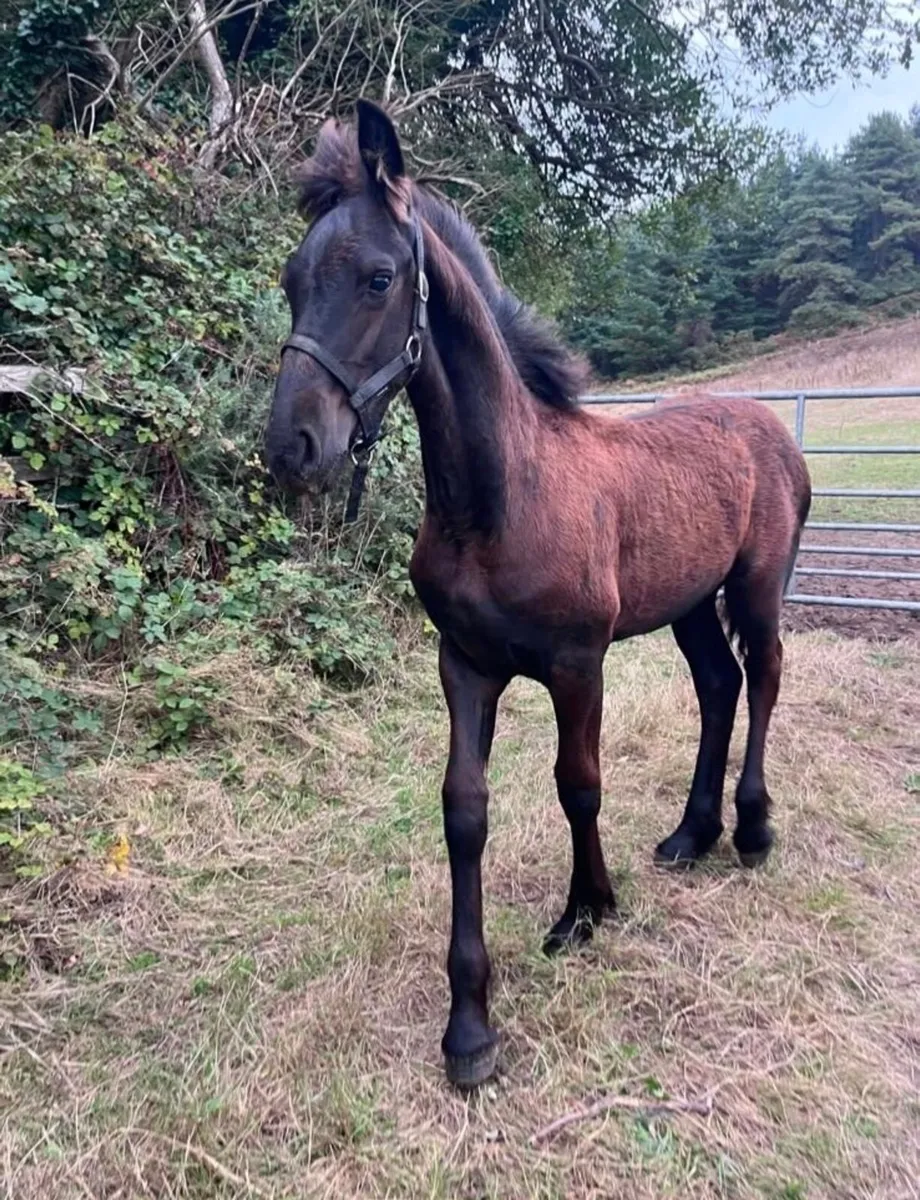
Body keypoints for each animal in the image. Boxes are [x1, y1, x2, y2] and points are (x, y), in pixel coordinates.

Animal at [265, 100, 811, 1089]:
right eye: (291, 281)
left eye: (377, 278)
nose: (292, 446)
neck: (501, 497)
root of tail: (772, 429)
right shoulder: (464, 665)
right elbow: (463, 811)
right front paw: (469, 1025)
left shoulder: (576, 664)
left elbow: (578, 784)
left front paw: (587, 909)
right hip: (687, 606)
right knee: (719, 686)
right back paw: (690, 835)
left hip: (755, 588)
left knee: (765, 680)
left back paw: (751, 832)